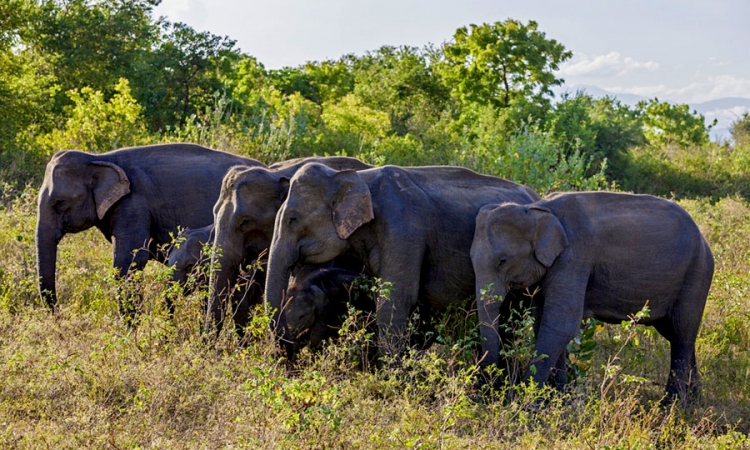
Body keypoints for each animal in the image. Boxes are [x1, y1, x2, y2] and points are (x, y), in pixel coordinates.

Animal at [470, 192, 716, 402]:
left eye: (502, 261)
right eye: (470, 258)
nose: (487, 392)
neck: (538, 209)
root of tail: (704, 240)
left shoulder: (575, 256)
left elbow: (561, 324)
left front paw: (530, 403)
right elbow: (544, 324)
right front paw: (560, 398)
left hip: (697, 274)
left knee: (682, 331)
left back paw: (671, 406)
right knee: (675, 334)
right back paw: (694, 402)